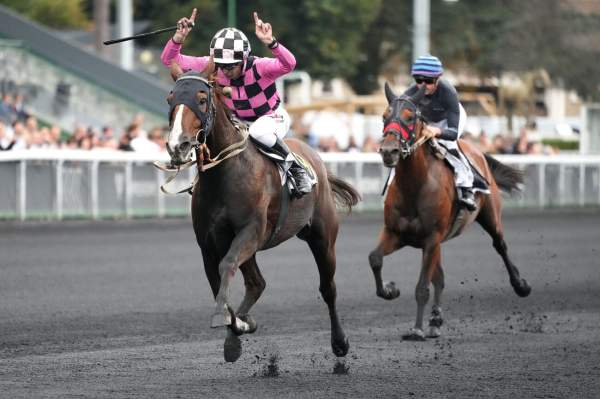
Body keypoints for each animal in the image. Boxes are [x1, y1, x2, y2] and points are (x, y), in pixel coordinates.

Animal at [164, 65, 358, 362]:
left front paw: (230, 321)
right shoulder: (209, 243)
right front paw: (238, 328)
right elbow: (218, 280)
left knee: (328, 288)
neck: (226, 173)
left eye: (201, 99)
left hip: (322, 237)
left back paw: (339, 342)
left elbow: (227, 266)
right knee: (257, 282)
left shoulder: (251, 231)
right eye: (170, 98)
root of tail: (316, 158)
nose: (178, 146)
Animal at [368, 83, 532, 340]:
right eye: (384, 116)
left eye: (409, 117)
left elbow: (422, 287)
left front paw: (416, 329)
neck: (414, 186)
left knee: (500, 245)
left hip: (489, 216)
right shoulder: (396, 233)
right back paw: (435, 320)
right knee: (440, 278)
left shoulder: (431, 238)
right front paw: (390, 289)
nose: (388, 151)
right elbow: (374, 258)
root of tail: (476, 151)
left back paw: (520, 285)